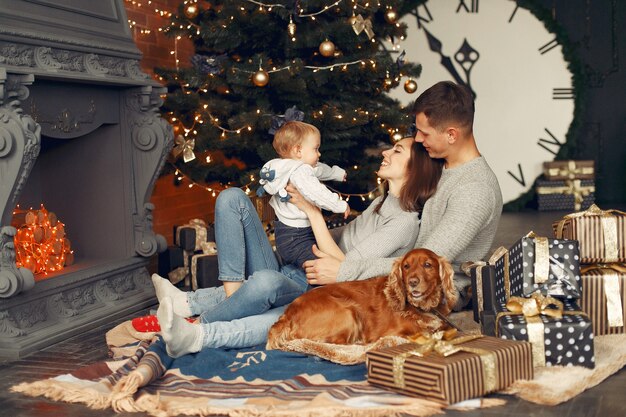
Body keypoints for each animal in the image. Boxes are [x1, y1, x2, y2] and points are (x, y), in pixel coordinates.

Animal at [266, 247, 456, 348]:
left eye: (428, 265)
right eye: (406, 266)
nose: (412, 282)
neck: (420, 306)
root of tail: (287, 314)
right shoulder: (395, 333)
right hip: (347, 311)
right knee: (335, 342)